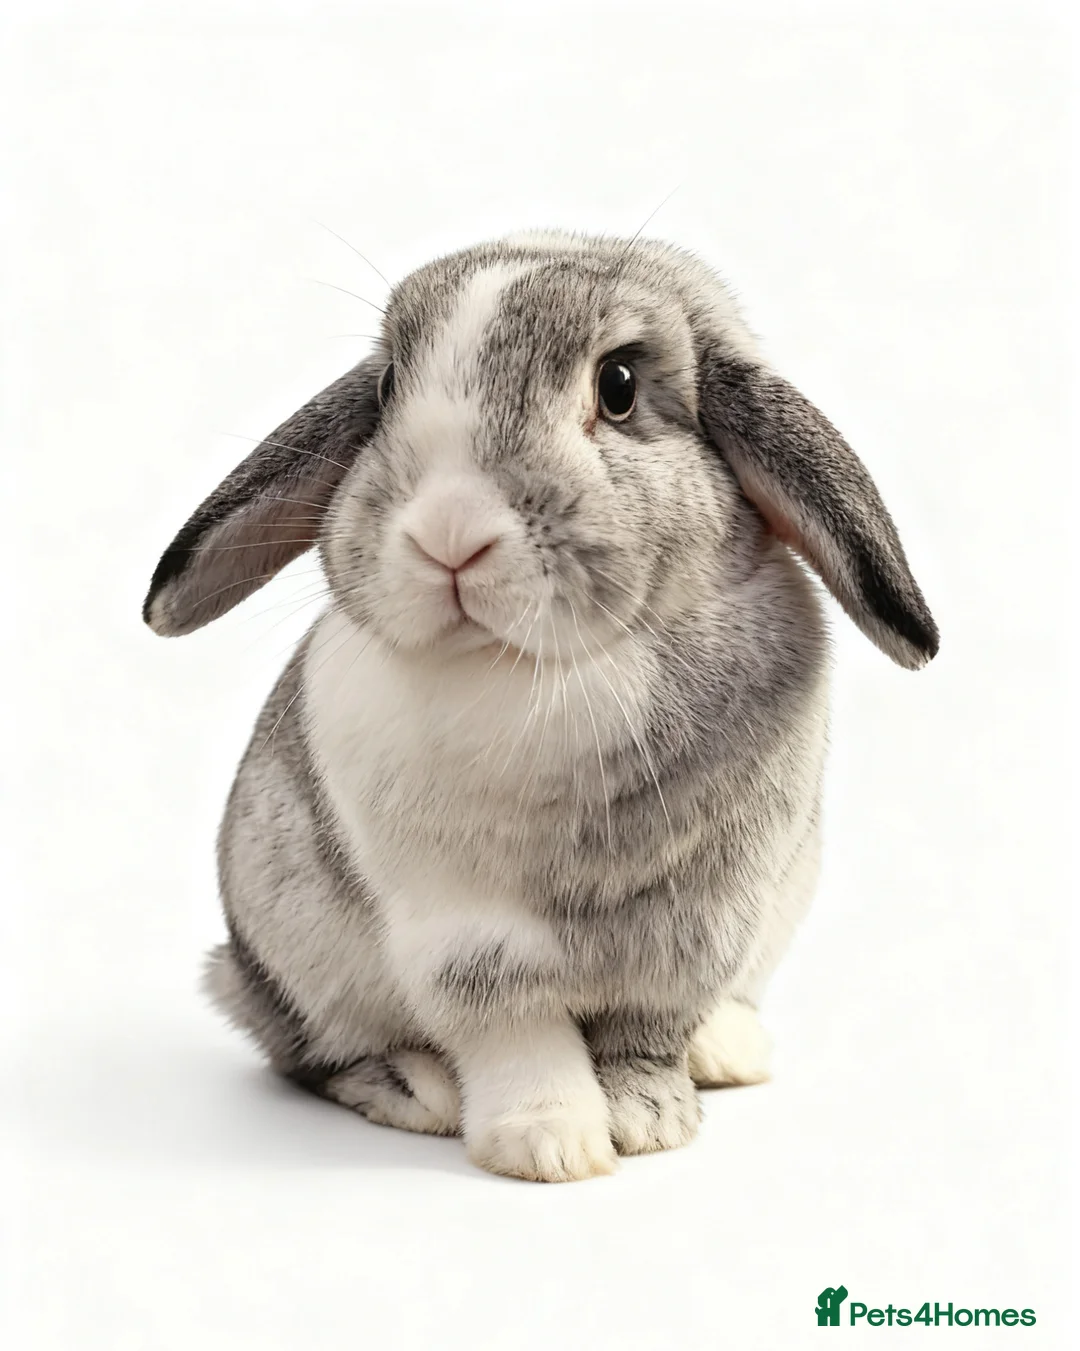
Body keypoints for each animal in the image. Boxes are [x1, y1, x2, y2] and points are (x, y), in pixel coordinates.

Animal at [143, 230, 938, 1182]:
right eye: (386, 388)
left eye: (619, 386)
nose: (448, 534)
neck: (542, 669)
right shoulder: (468, 935)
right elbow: (516, 1031)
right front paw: (552, 1145)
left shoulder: (699, 921)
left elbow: (645, 1030)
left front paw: (649, 1117)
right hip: (290, 954)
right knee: (311, 1049)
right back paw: (416, 1087)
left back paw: (730, 1049)